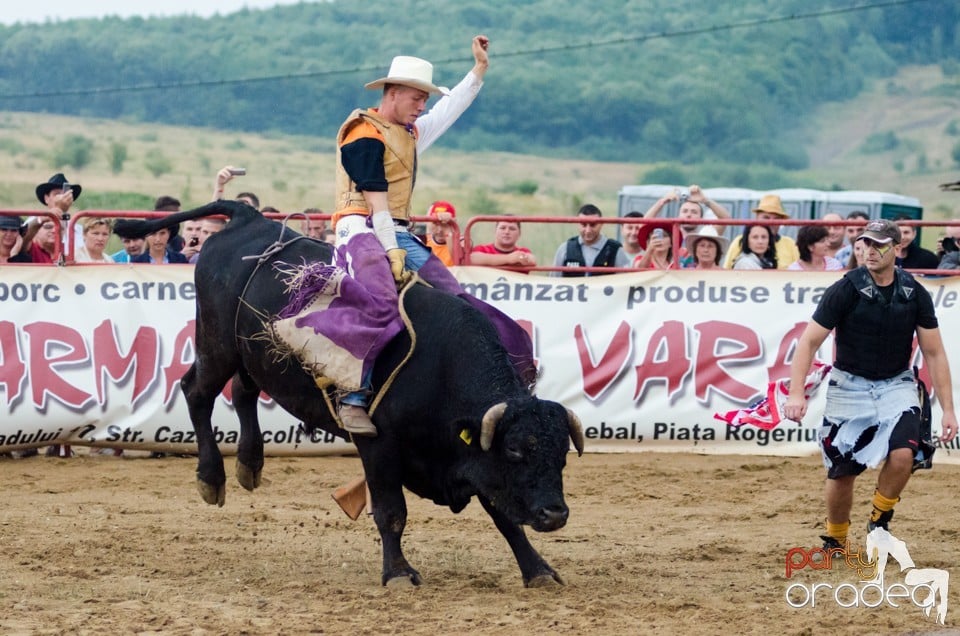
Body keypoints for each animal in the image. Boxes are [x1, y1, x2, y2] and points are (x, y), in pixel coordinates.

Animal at [117, 202, 588, 588]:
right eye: (515, 450)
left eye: (561, 454)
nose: (555, 514)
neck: (440, 364)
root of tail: (248, 219)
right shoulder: (379, 446)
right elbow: (392, 511)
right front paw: (398, 573)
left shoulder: (470, 460)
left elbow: (504, 515)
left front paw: (538, 569)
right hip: (217, 346)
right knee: (197, 392)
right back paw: (211, 478)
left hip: (251, 351)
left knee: (245, 391)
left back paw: (250, 464)